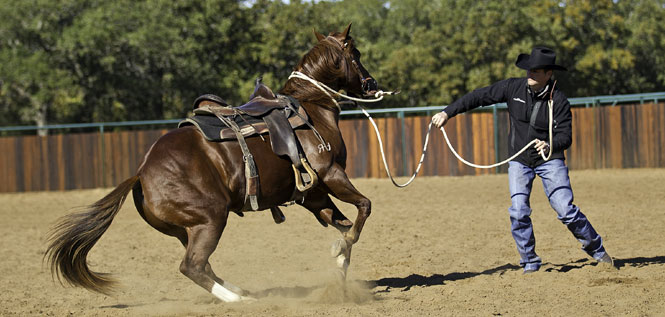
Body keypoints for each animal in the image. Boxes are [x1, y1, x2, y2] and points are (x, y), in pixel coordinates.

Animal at [45, 24, 378, 302]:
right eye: (356, 53)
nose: (371, 84)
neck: (311, 107)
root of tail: (141, 173)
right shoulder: (331, 174)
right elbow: (364, 207)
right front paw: (343, 249)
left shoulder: (314, 194)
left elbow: (343, 225)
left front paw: (340, 264)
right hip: (211, 218)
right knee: (192, 266)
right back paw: (238, 300)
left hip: (187, 229)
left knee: (203, 265)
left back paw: (240, 291)